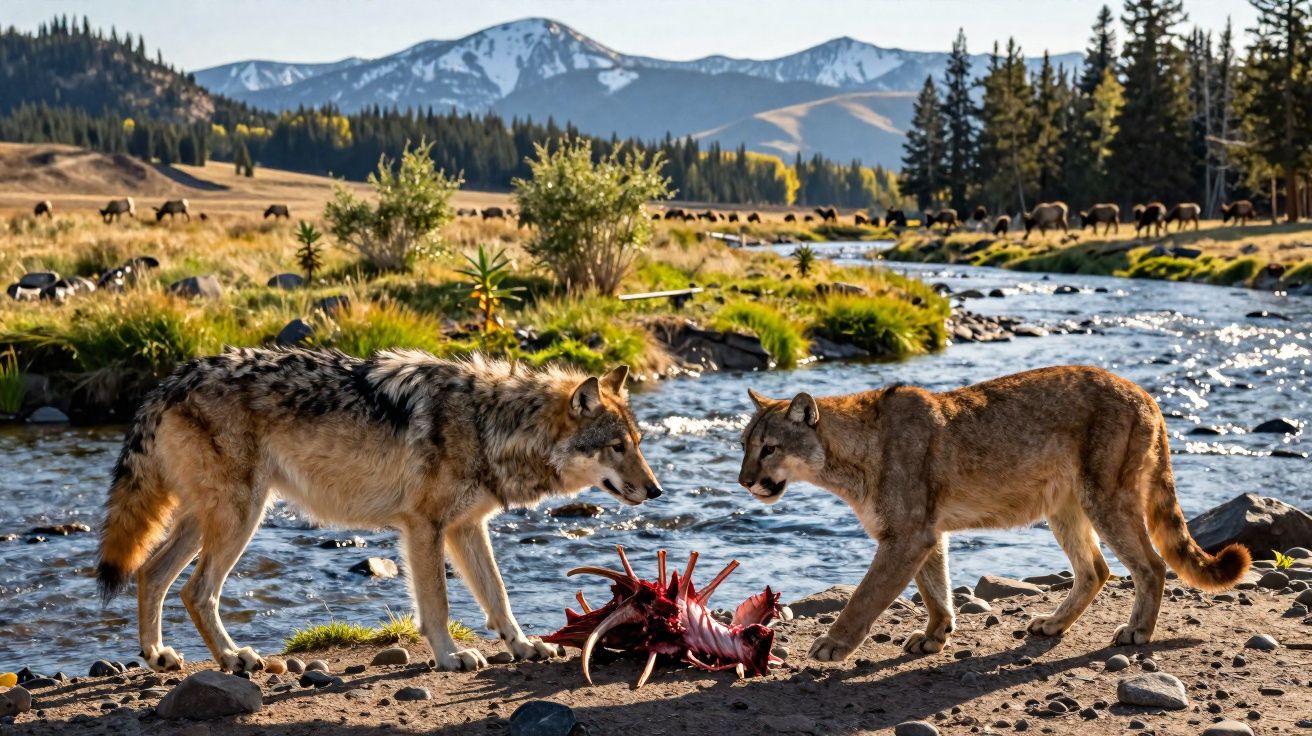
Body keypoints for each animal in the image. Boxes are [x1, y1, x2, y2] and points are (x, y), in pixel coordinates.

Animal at [97, 347, 663, 674]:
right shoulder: (424, 527)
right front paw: (450, 657)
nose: (656, 491)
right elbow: (437, 605)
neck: (488, 425)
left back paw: (158, 656)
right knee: (196, 591)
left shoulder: (467, 527)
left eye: (636, 443)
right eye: (616, 447)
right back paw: (234, 658)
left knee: (151, 574)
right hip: (241, 517)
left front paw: (524, 647)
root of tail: (170, 380)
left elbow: (498, 596)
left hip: (212, 519)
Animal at [737, 366, 1249, 663]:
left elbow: (867, 596)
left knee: (1151, 565)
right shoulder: (924, 533)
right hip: (1066, 506)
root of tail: (1145, 393)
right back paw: (1053, 624)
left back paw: (1137, 630)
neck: (845, 459)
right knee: (1095, 569)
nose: (744, 481)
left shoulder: (906, 536)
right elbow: (935, 588)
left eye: (769, 448)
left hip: (1106, 497)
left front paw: (832, 645)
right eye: (744, 444)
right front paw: (936, 636)